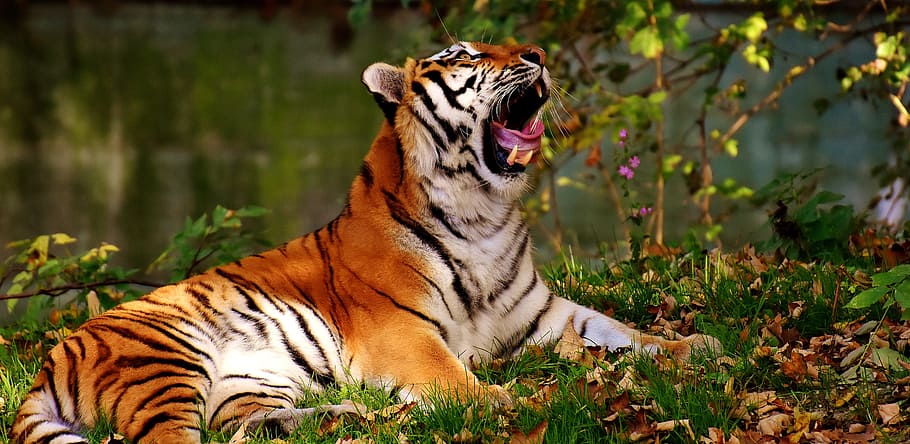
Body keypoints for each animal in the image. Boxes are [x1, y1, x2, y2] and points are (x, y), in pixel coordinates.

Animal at [11, 42, 719, 444]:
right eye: (465, 55)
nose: (539, 56)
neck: (485, 213)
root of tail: (52, 354)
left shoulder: (542, 313)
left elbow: (619, 328)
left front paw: (693, 346)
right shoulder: (401, 330)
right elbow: (449, 373)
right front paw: (499, 401)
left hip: (249, 380)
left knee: (237, 427)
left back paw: (350, 415)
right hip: (164, 363)